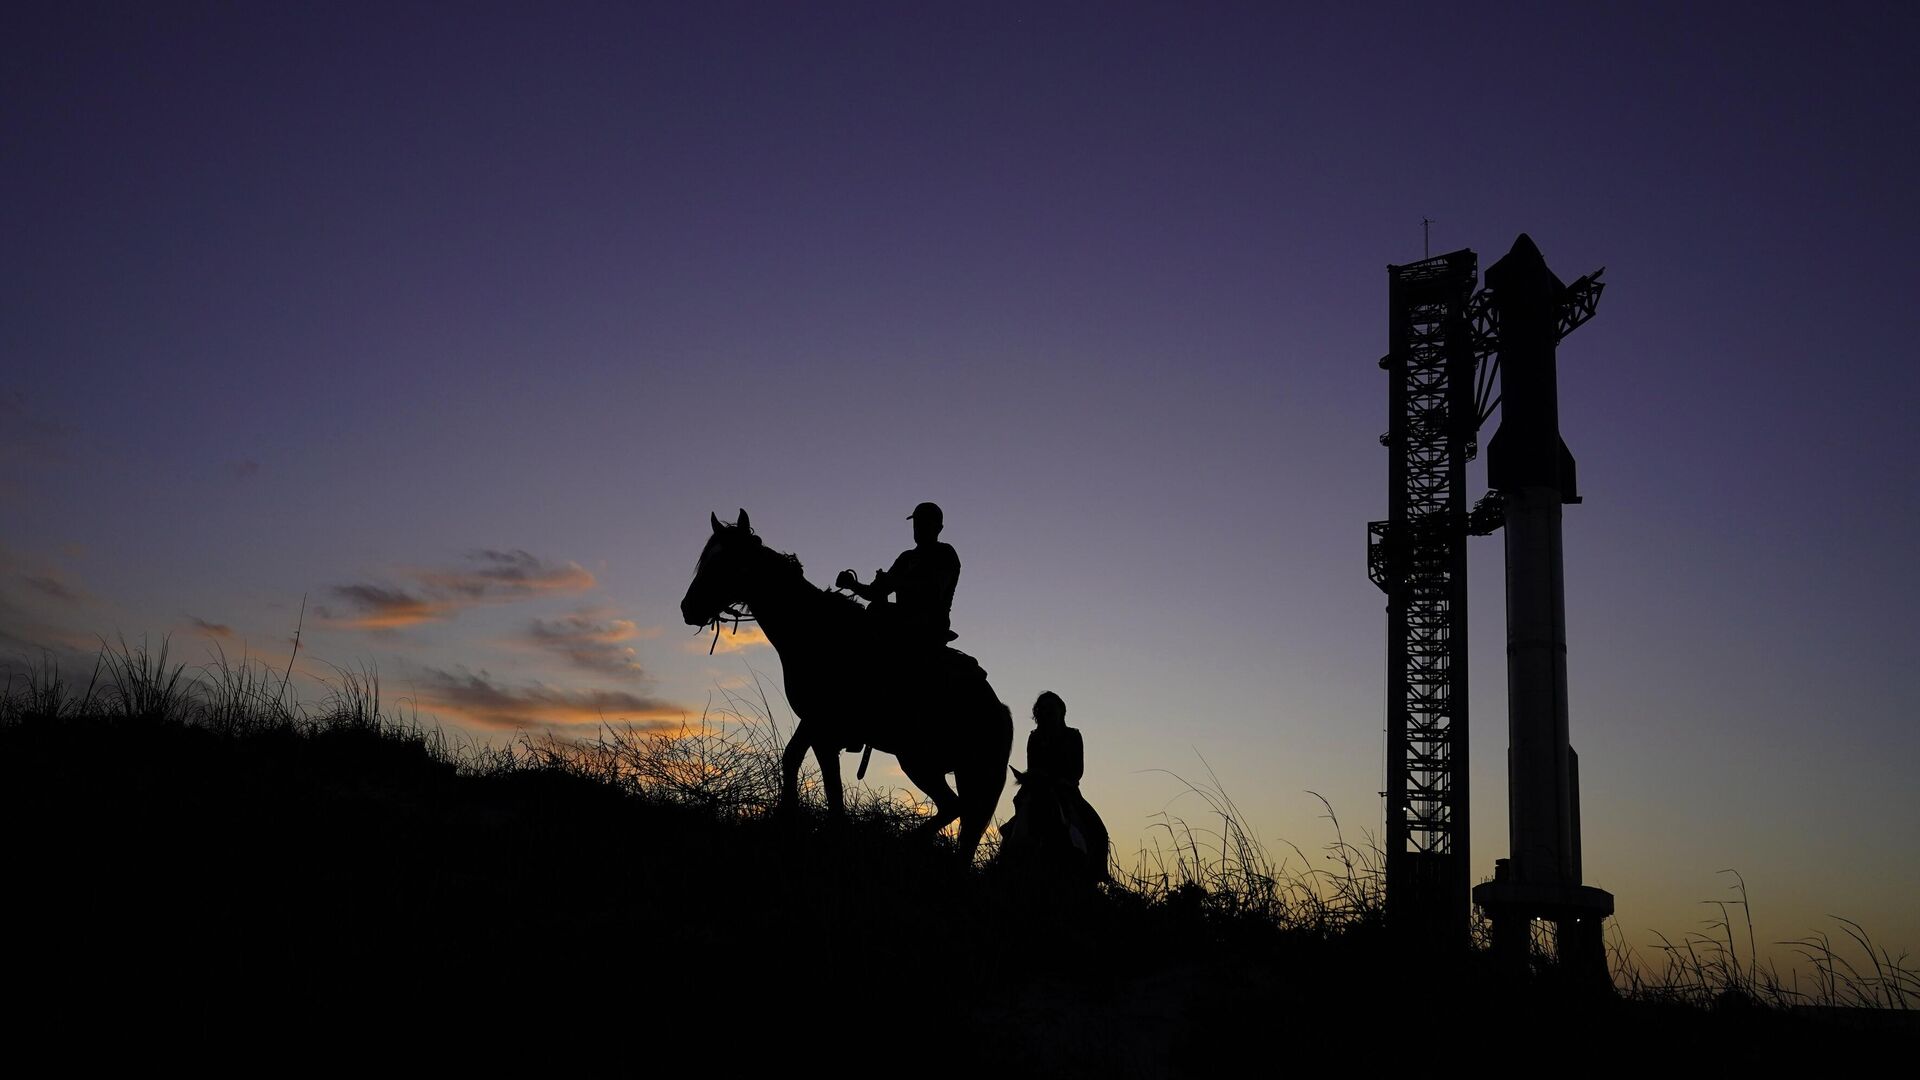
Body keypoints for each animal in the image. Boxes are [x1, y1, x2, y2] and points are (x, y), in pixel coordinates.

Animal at [679, 507, 1013, 853]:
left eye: (727, 561)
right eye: (707, 559)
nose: (688, 608)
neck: (822, 634)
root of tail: (1000, 710)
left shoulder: (825, 729)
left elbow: (833, 790)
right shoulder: (812, 722)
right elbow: (792, 759)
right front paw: (787, 821)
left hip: (923, 760)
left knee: (956, 808)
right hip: (937, 765)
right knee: (957, 814)